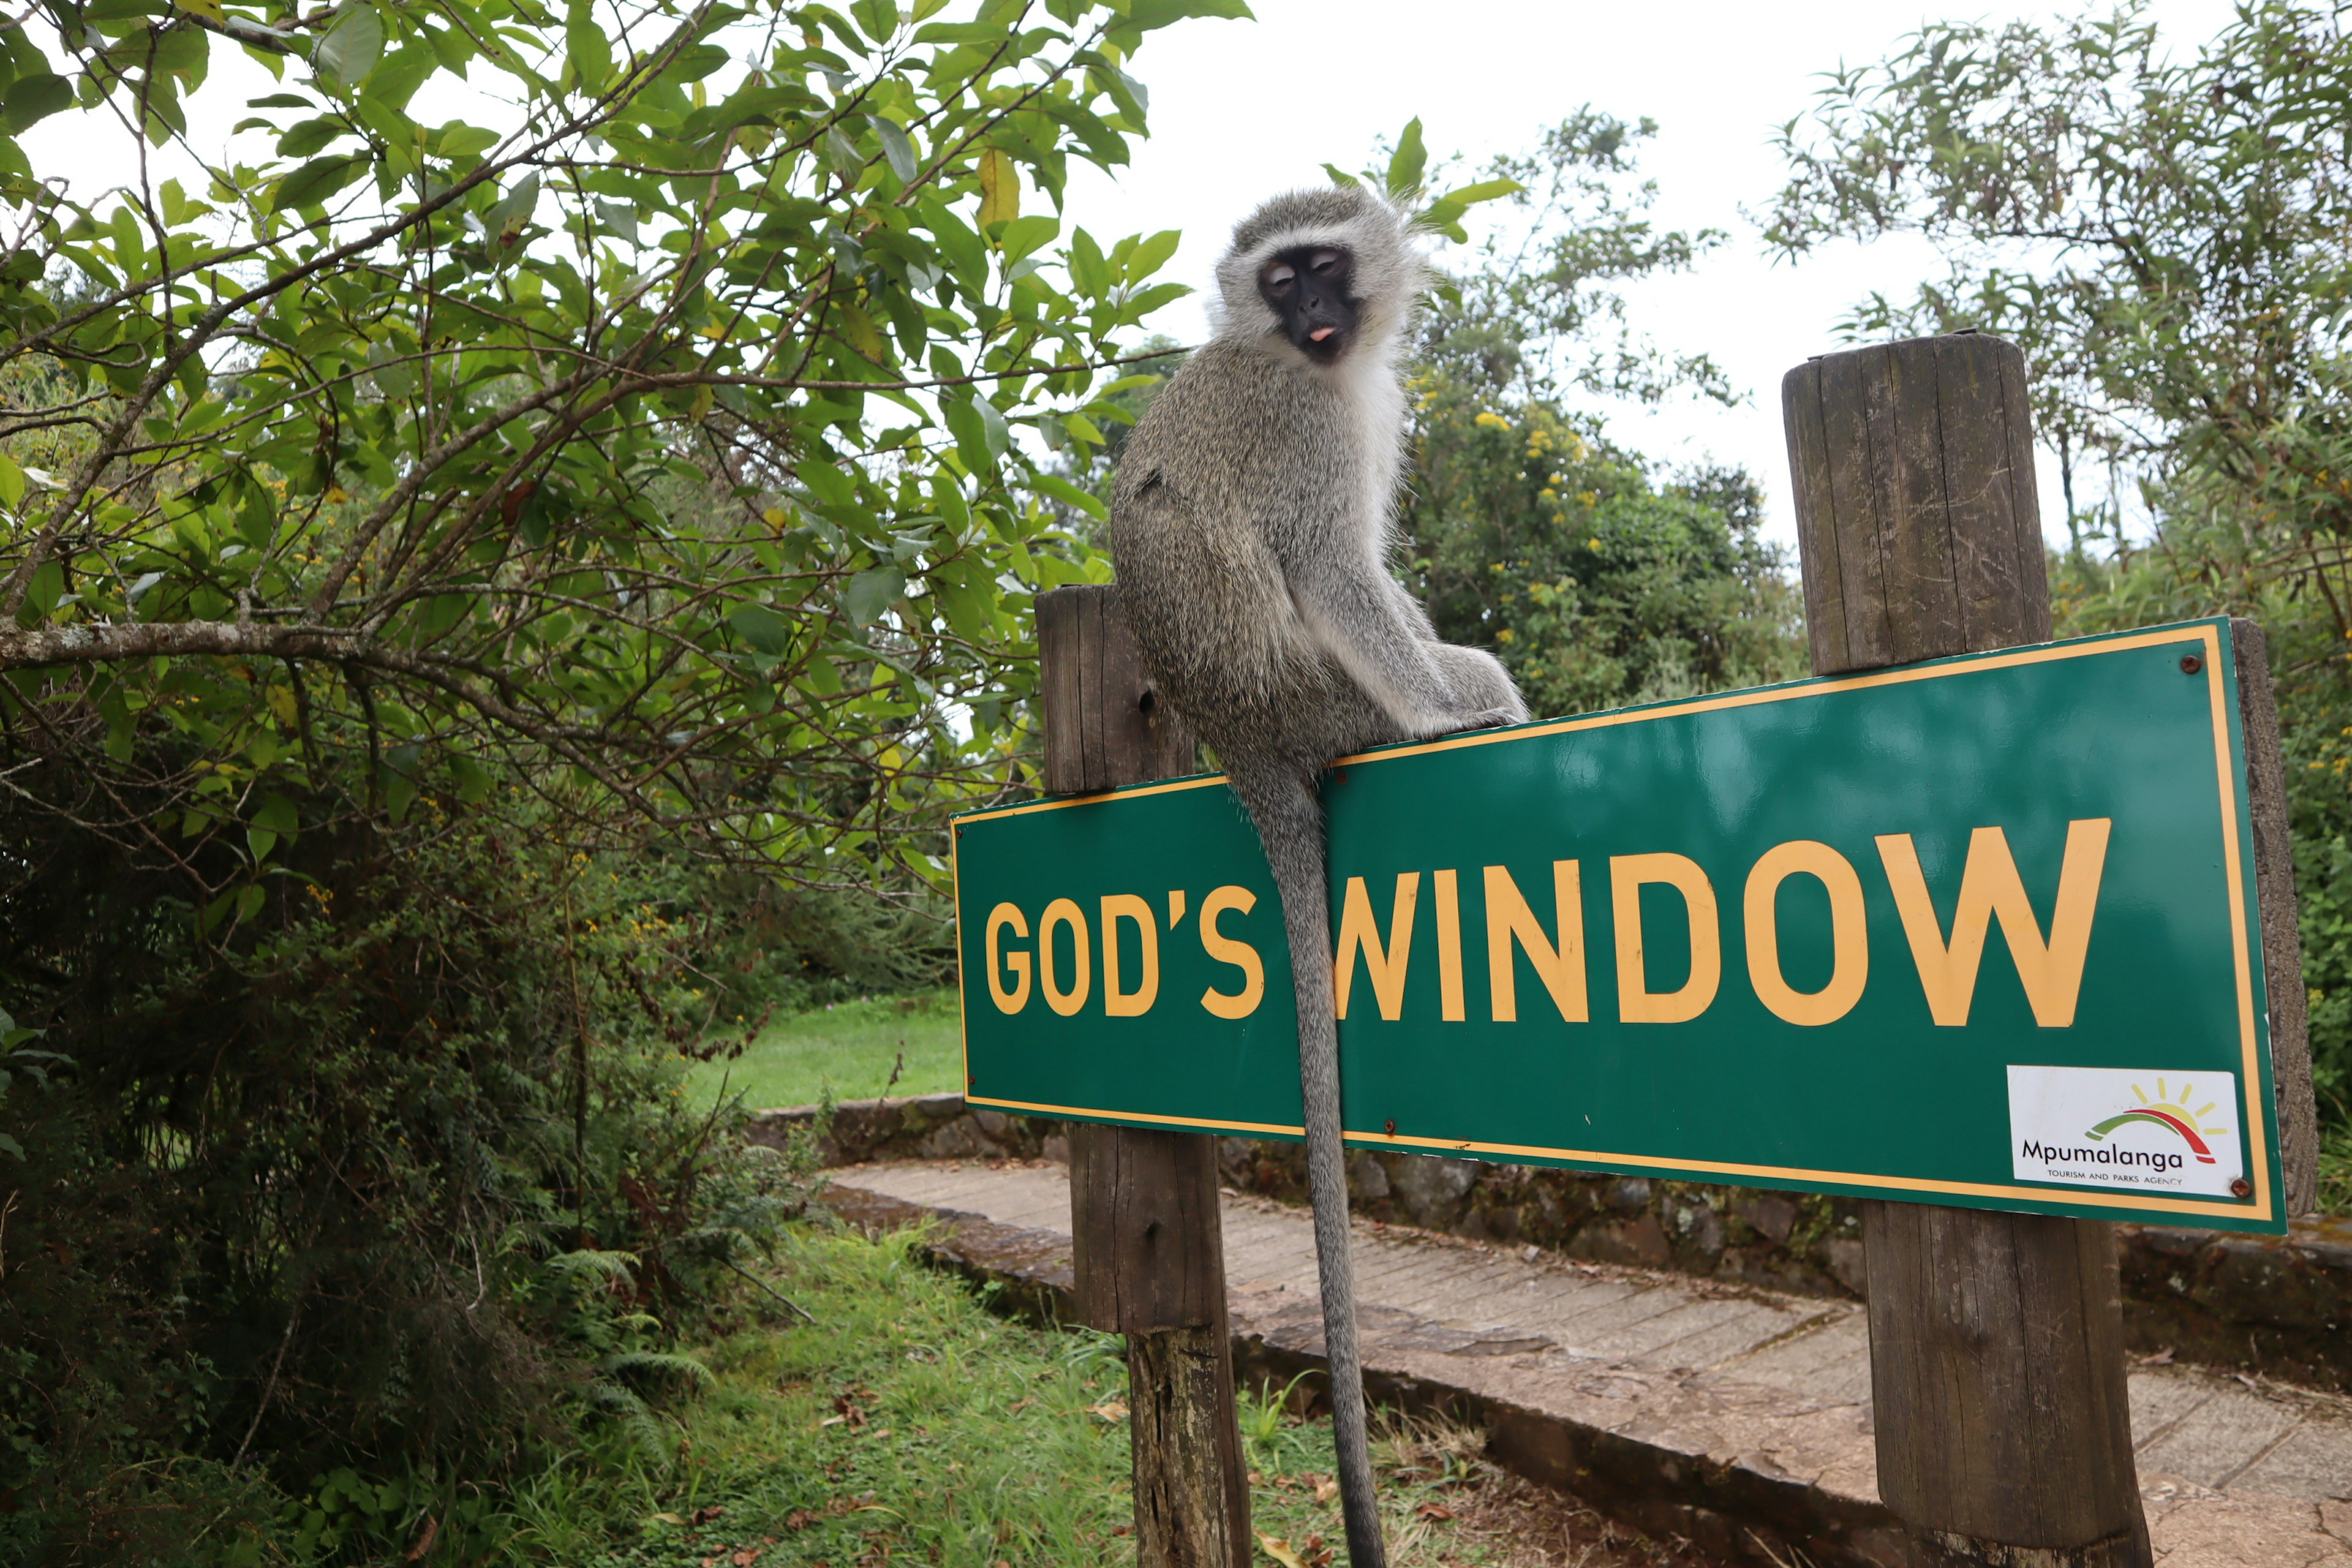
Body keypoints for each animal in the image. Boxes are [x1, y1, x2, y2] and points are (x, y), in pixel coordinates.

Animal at [1105, 190, 1524, 1561]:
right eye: (1282, 283)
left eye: (1324, 266)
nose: (1320, 315)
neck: (1310, 367)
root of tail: (1239, 737)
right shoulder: (1306, 434)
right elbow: (1338, 572)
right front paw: (1444, 716)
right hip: (1320, 700)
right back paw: (1462, 710)